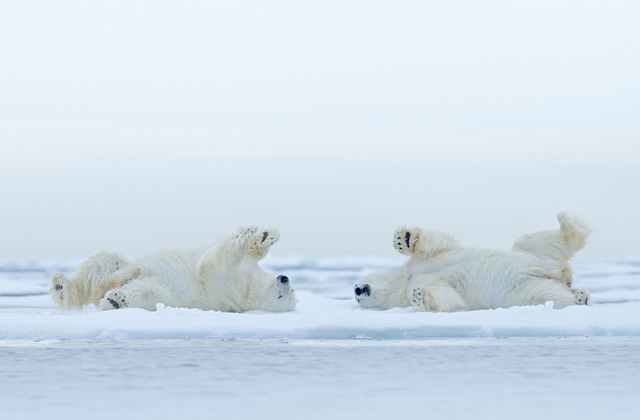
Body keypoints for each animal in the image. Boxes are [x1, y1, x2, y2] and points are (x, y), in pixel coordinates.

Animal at [48, 226, 296, 312]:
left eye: (284, 296)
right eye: (291, 291)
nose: (284, 278)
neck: (249, 287)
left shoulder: (227, 287)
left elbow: (212, 265)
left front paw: (242, 240)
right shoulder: (247, 271)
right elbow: (249, 254)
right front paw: (261, 235)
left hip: (164, 293)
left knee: (145, 291)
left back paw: (115, 299)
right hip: (118, 267)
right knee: (104, 263)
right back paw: (62, 283)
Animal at [356, 213, 592, 312]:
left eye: (356, 283)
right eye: (356, 296)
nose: (358, 289)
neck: (405, 280)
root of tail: (562, 276)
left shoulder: (424, 262)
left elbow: (437, 244)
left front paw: (403, 238)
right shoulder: (413, 289)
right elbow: (448, 296)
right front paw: (420, 295)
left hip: (532, 254)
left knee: (540, 241)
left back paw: (566, 224)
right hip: (523, 291)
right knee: (546, 296)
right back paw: (580, 297)